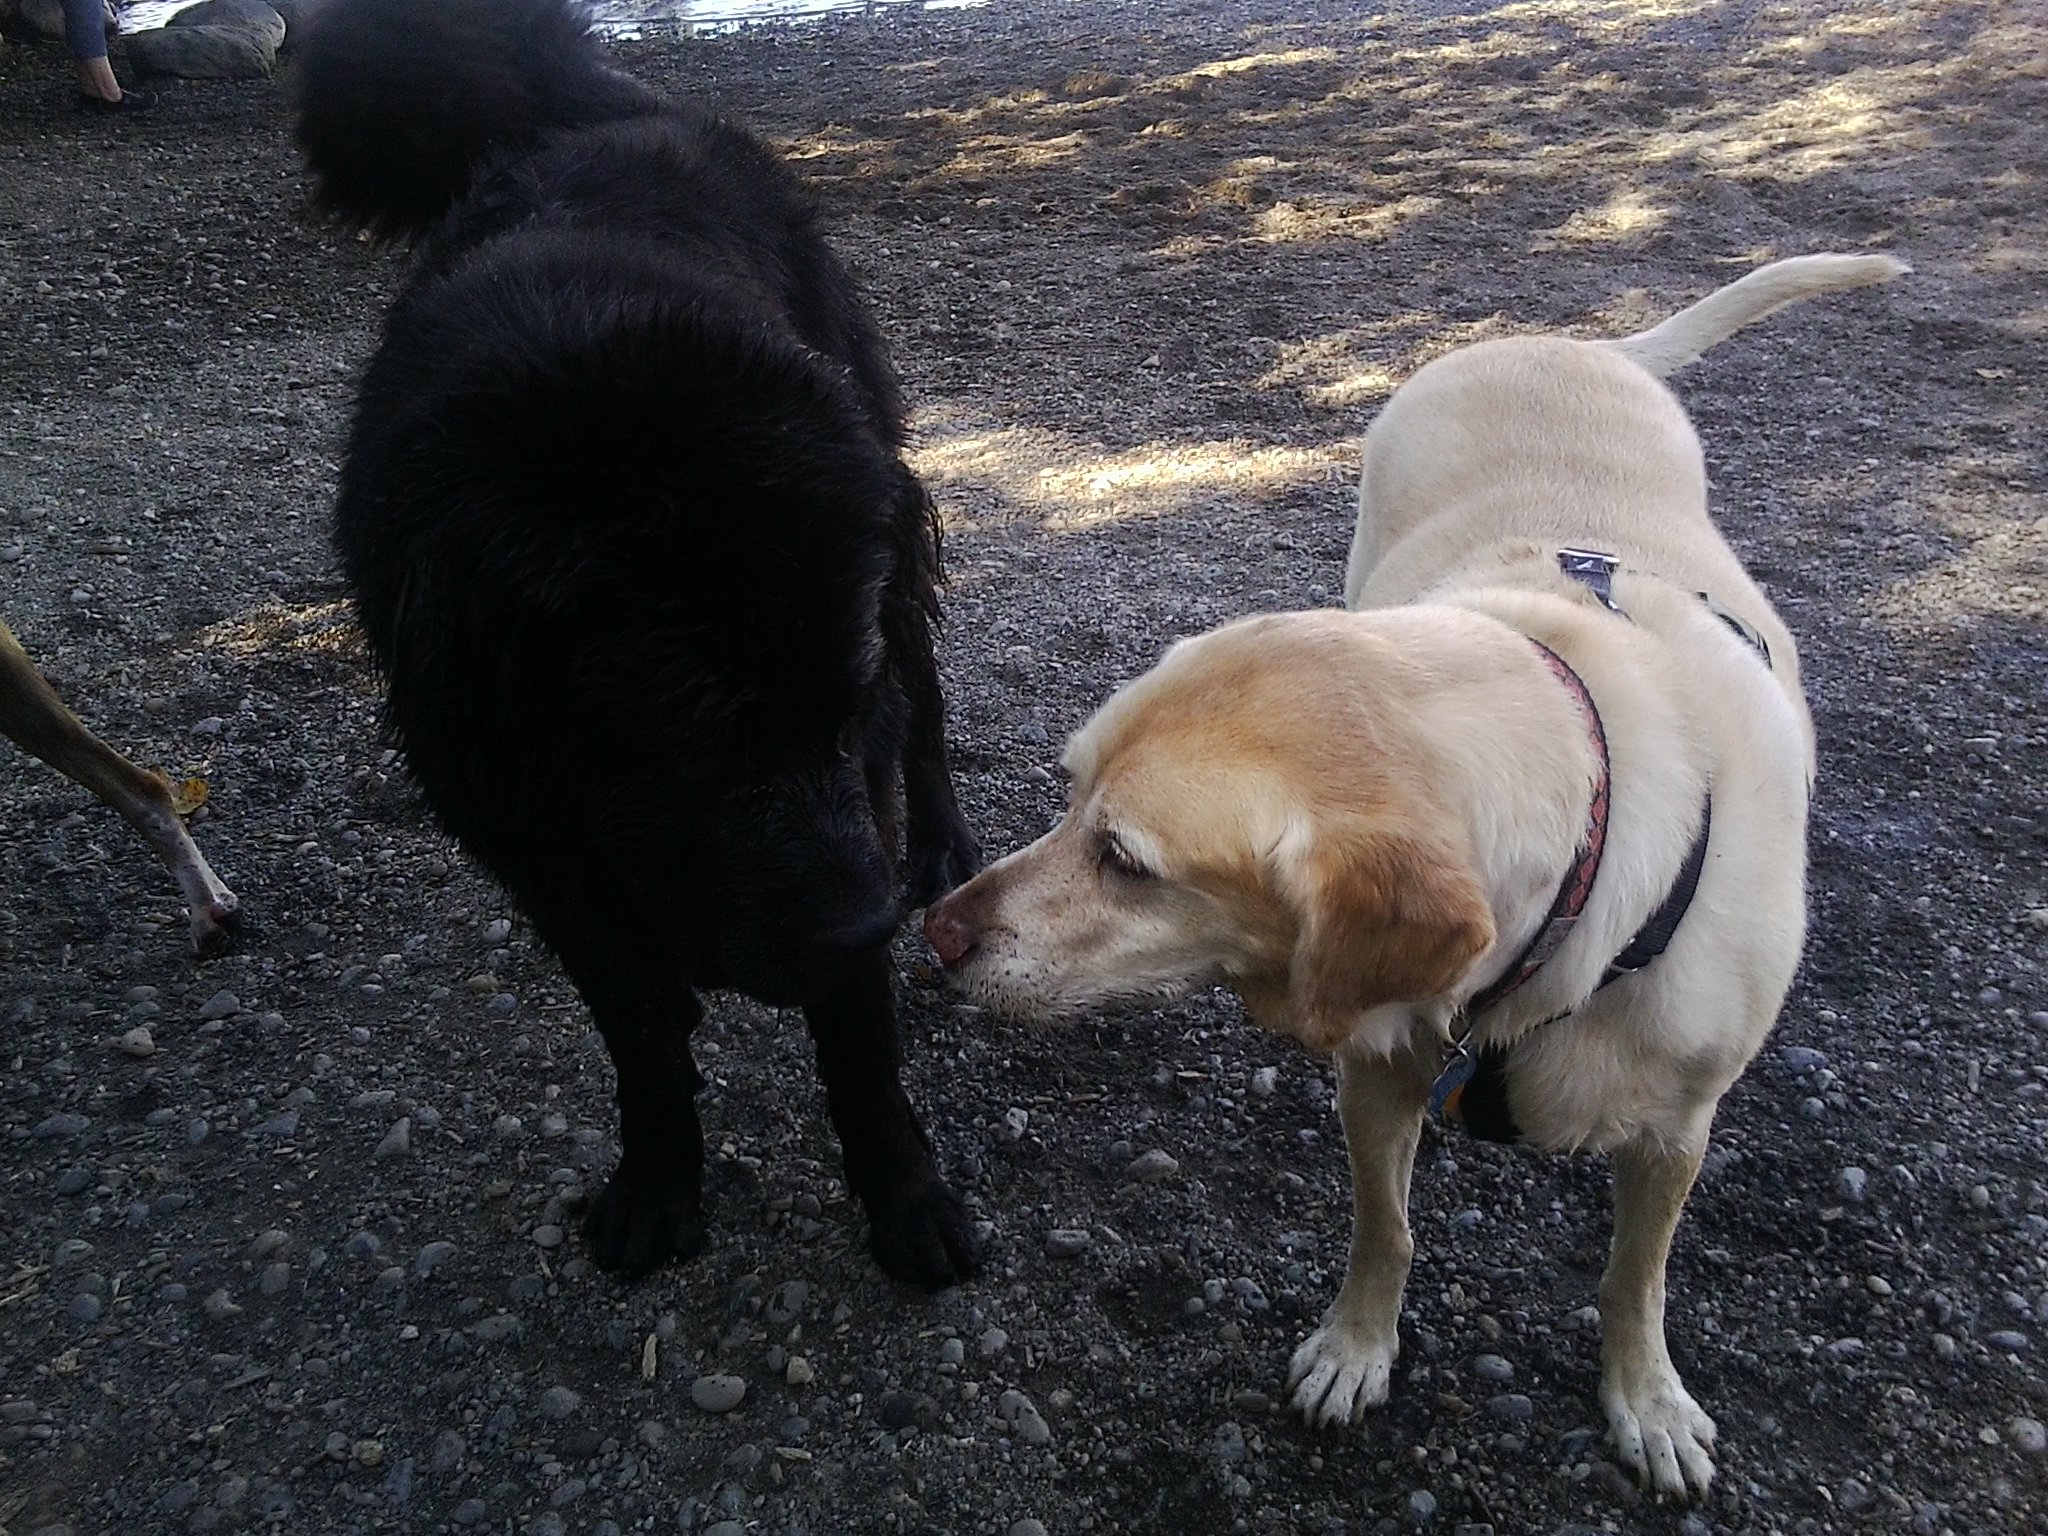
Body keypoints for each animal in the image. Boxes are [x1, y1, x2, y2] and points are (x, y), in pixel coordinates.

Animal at [290, 0, 983, 1286]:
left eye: (833, 721)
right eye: (697, 749)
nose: (871, 926)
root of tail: (605, 118)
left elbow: (856, 1036)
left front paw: (904, 1195)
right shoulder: (527, 831)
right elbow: (639, 1037)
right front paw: (658, 1183)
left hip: (888, 511)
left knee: (923, 696)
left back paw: (942, 844)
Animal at [925, 256, 1900, 1507]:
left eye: (1124, 860)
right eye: (1065, 791)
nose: (934, 933)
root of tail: (1565, 344)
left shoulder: (1675, 1127)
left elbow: (1634, 1276)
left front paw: (1644, 1399)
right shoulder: (1374, 1069)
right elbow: (1381, 1229)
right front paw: (1355, 1348)